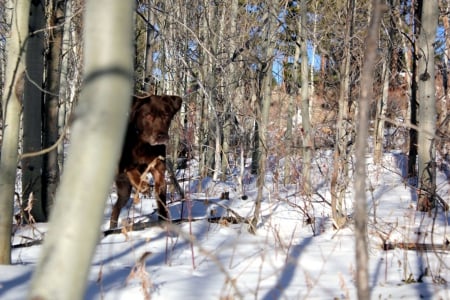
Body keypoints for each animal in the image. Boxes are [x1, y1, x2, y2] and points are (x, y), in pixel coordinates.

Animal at [110, 95, 182, 229]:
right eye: (148, 116)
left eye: (166, 115)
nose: (161, 136)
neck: (145, 145)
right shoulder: (121, 162)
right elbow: (131, 168)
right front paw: (143, 185)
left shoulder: (159, 171)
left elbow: (161, 200)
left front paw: (164, 221)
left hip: (124, 190)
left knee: (116, 207)